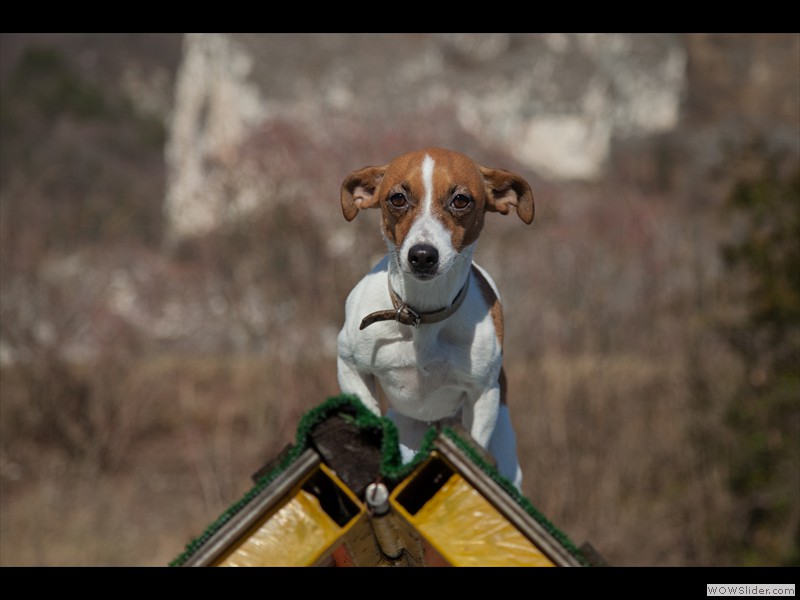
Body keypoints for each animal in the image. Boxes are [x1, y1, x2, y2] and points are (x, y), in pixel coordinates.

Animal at [334, 148, 536, 490]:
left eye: (461, 200)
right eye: (397, 198)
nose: (422, 255)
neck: (421, 316)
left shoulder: (483, 395)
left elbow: (475, 442)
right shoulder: (350, 364)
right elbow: (367, 412)